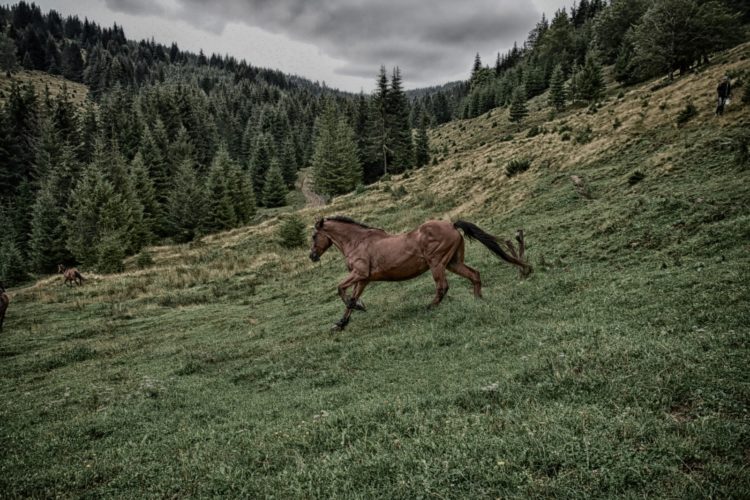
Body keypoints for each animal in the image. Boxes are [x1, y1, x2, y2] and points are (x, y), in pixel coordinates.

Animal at [312, 216, 536, 330]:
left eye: (314, 236)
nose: (312, 256)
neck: (357, 242)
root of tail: (451, 224)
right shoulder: (363, 278)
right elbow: (351, 297)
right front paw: (342, 322)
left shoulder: (359, 274)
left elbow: (341, 290)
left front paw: (357, 307)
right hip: (453, 263)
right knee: (475, 275)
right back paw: (477, 301)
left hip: (437, 263)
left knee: (443, 287)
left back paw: (429, 307)